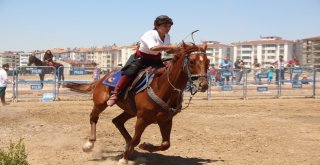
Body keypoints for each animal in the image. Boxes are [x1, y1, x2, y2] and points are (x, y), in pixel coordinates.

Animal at [64, 42, 210, 163]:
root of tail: (101, 79)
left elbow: (165, 144)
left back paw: (128, 147)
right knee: (93, 117)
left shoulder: (166, 120)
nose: (203, 85)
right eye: (191, 61)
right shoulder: (142, 119)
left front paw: (146, 146)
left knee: (117, 121)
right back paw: (89, 144)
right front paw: (124, 158)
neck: (162, 86)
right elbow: (136, 139)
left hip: (130, 111)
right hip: (101, 103)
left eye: (208, 62)